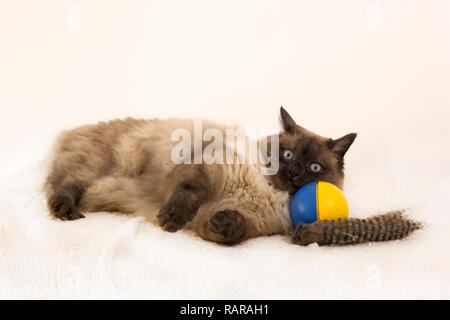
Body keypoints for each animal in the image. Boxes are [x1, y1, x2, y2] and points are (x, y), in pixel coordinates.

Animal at [44, 107, 420, 245]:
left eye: (314, 168)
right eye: (287, 155)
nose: (293, 172)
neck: (264, 190)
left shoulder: (239, 224)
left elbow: (231, 232)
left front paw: (225, 221)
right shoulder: (203, 170)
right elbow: (189, 194)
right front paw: (170, 219)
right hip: (98, 167)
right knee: (61, 184)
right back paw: (67, 212)